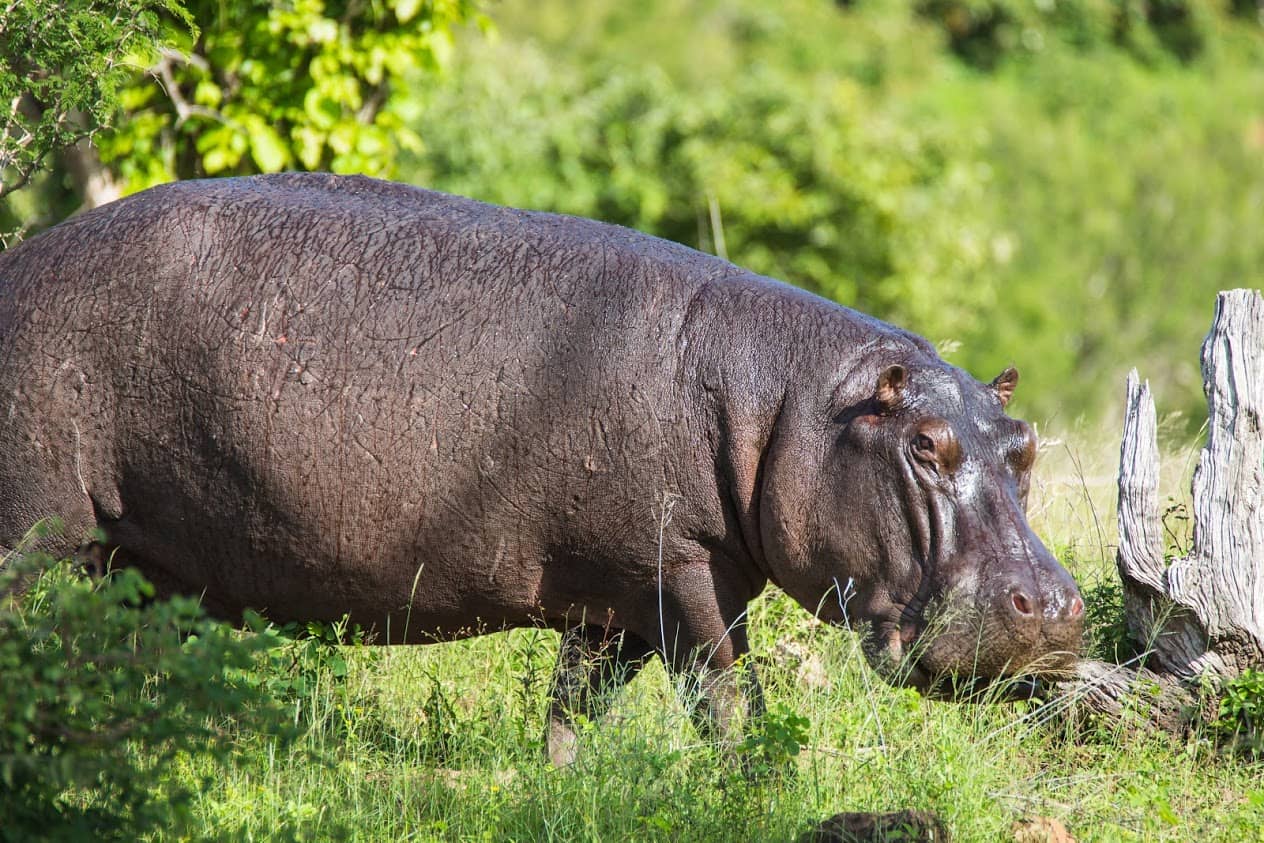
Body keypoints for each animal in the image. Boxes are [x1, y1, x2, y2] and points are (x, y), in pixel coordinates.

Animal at [0, 173, 1083, 764]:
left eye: (1024, 444)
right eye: (925, 445)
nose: (1056, 605)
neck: (797, 404)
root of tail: (22, 259)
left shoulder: (614, 599)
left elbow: (573, 709)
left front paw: (561, 784)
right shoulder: (687, 573)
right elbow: (730, 697)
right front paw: (756, 785)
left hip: (139, 560)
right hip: (37, 526)